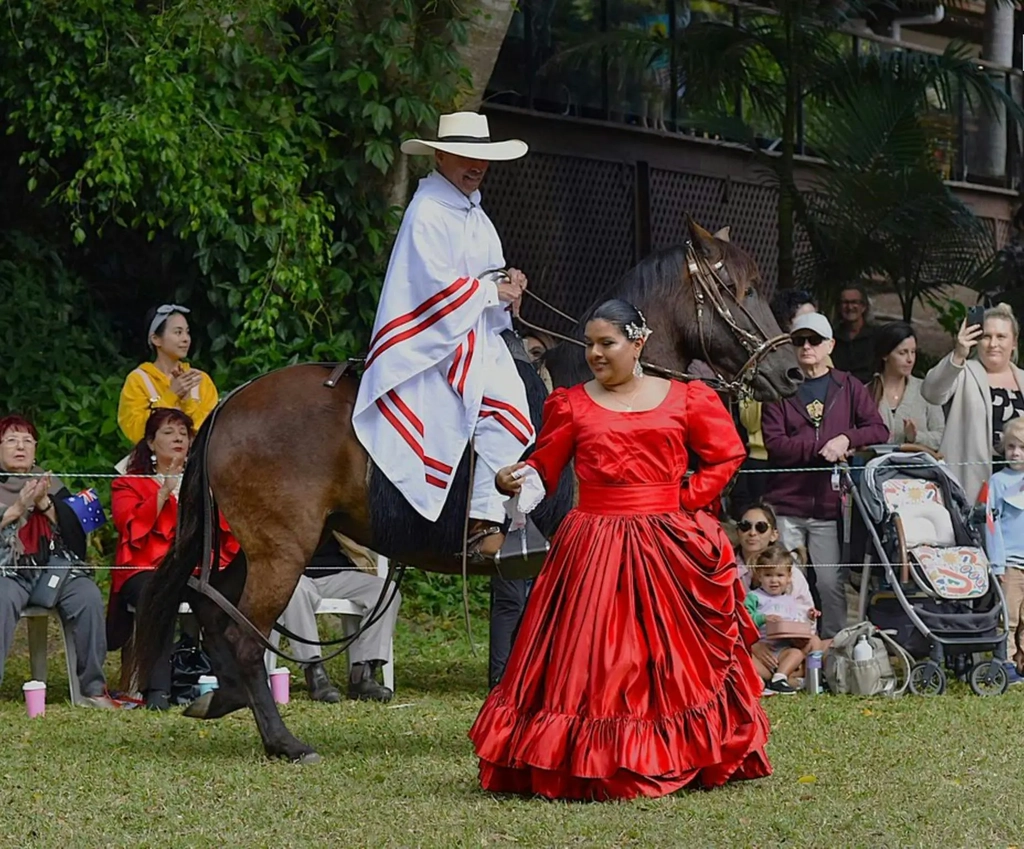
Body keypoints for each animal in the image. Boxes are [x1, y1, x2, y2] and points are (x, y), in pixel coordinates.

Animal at [130, 218, 798, 761]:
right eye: (739, 291)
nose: (789, 371)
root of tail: (230, 405)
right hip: (283, 550)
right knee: (243, 635)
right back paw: (284, 742)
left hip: (258, 547)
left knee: (214, 613)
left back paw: (221, 701)